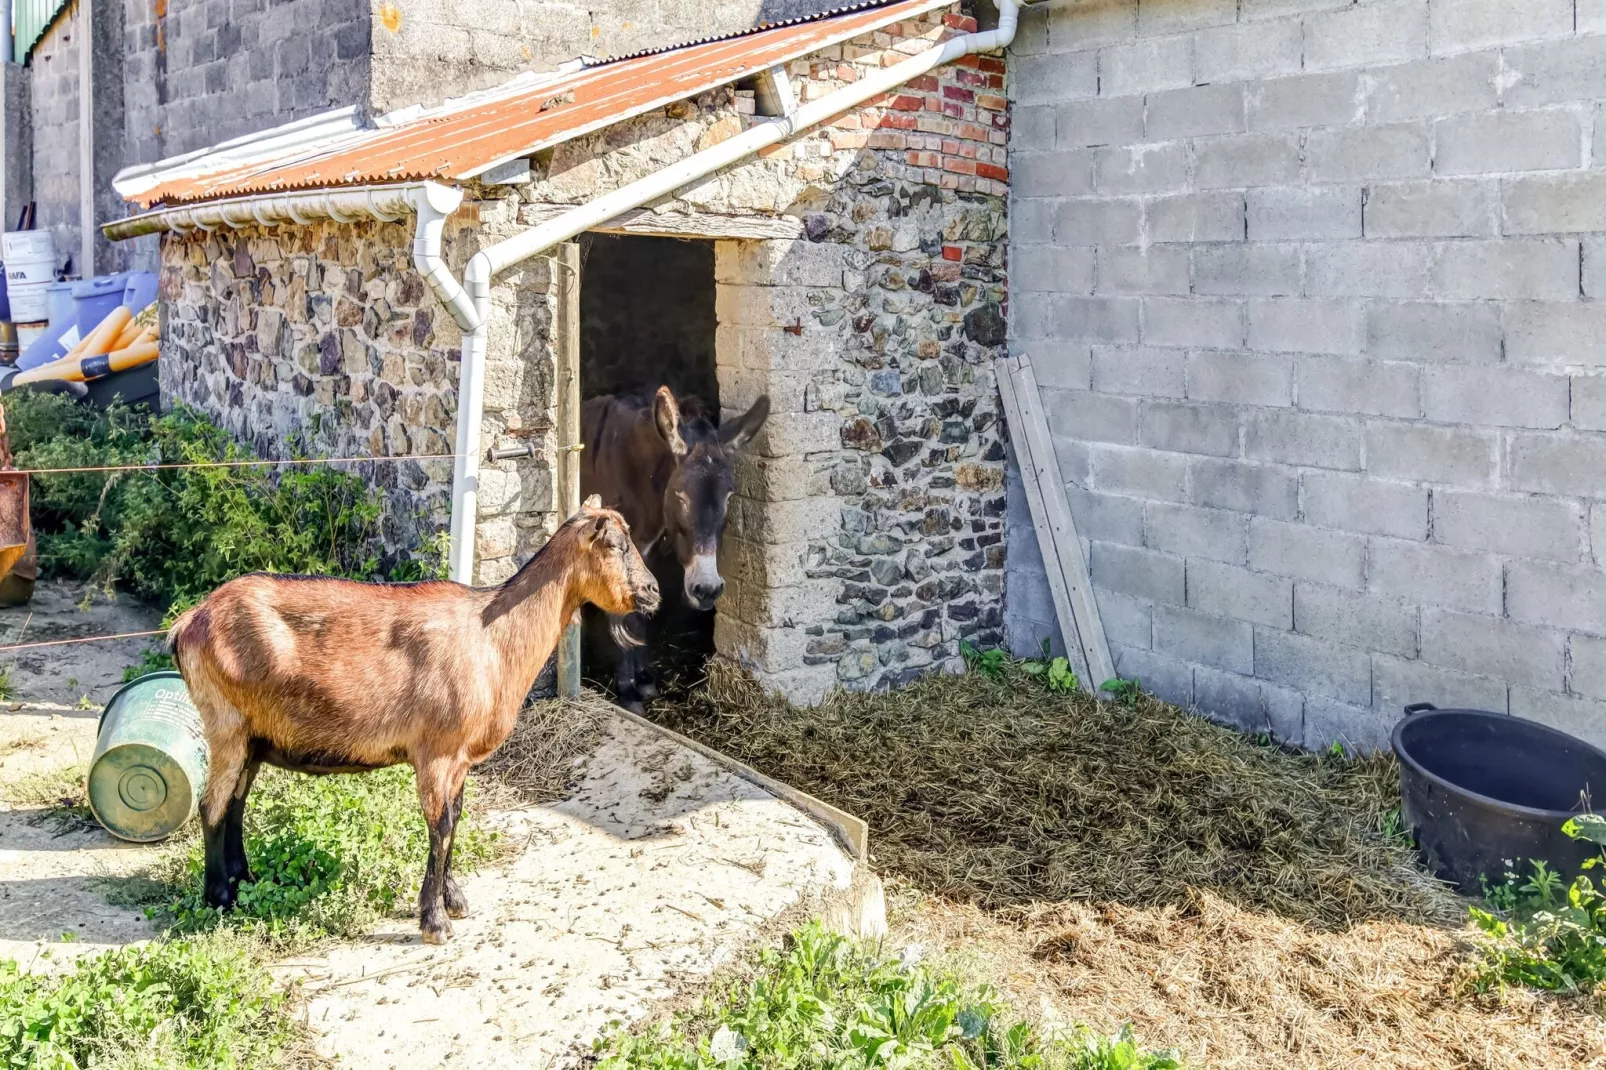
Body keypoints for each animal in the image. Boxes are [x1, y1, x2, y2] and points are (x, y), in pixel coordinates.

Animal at [169, 494, 658, 938]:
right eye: (614, 544)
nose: (653, 592)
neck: (493, 638)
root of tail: (188, 623)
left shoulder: (459, 759)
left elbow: (456, 818)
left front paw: (452, 899)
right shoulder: (435, 752)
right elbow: (439, 827)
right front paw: (435, 921)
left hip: (253, 736)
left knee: (236, 803)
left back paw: (245, 881)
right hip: (226, 724)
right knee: (212, 806)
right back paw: (219, 898)